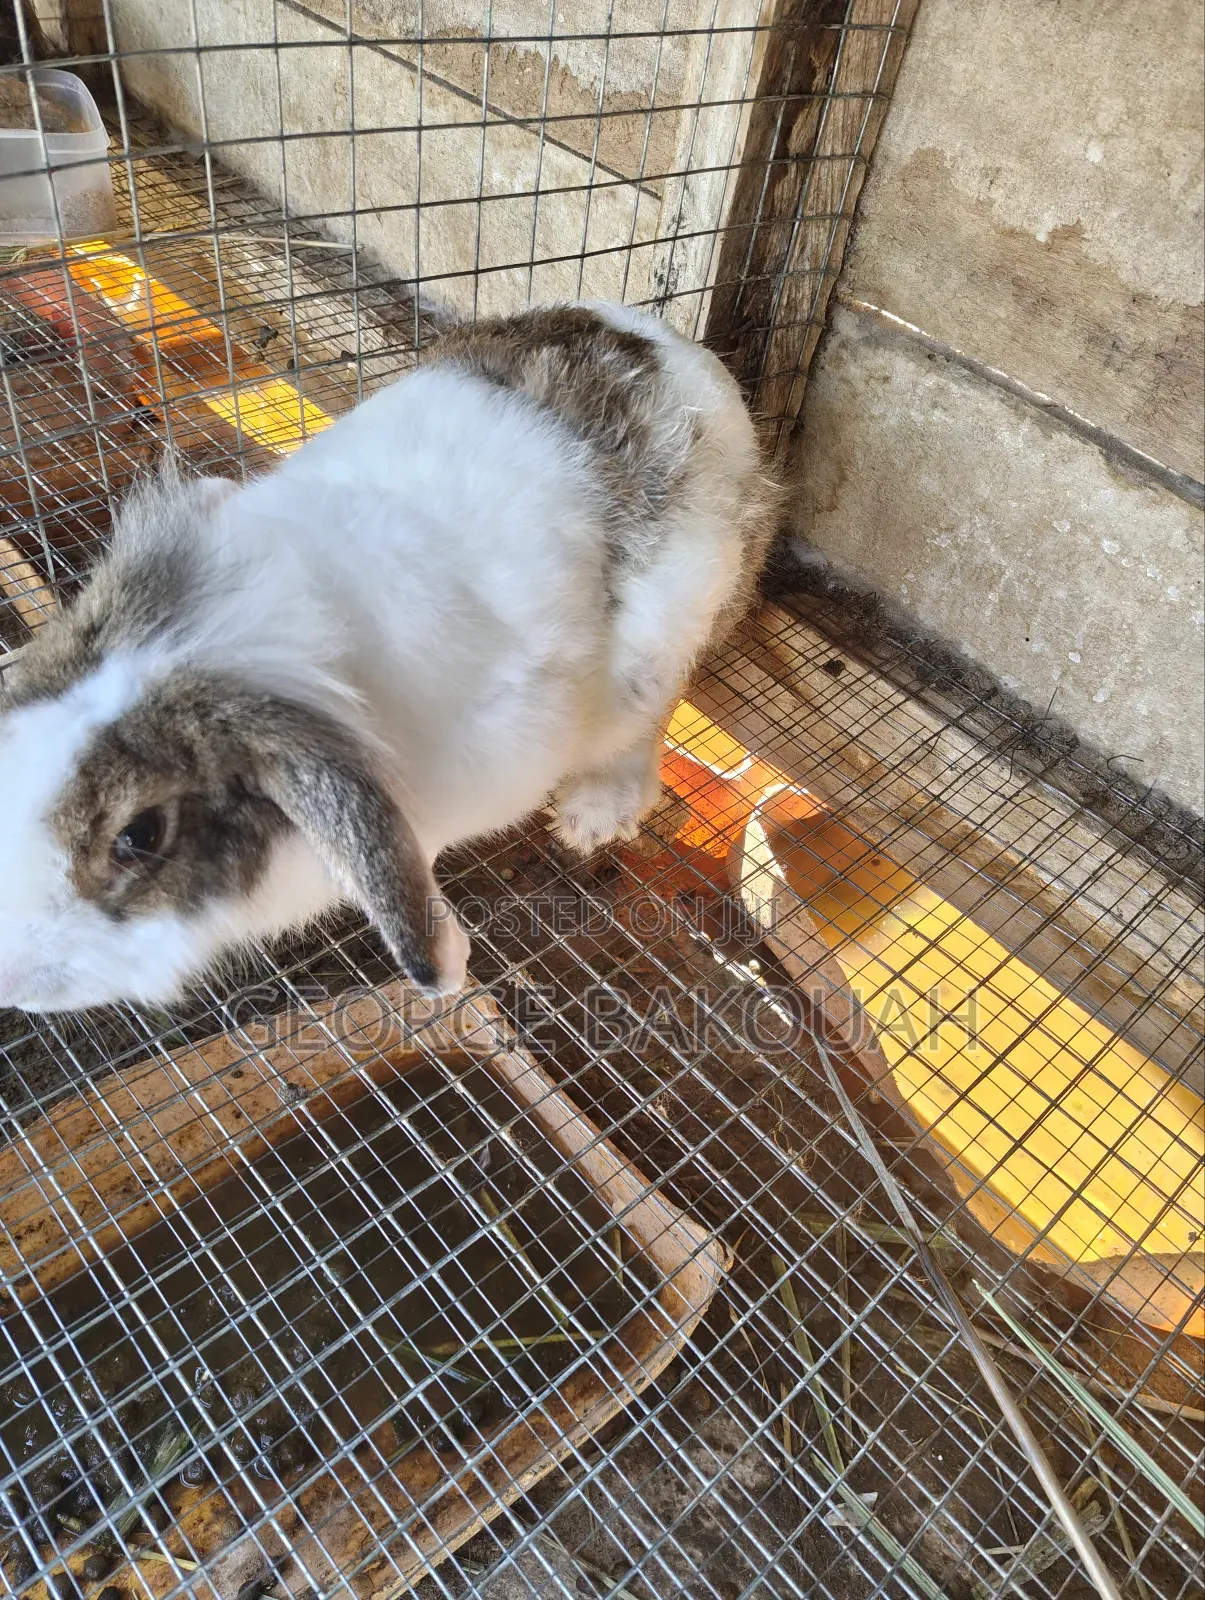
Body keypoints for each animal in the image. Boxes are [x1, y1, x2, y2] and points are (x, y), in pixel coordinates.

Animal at [0, 302, 778, 1014]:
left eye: (139, 836)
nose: (16, 984)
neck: (233, 641)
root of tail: (676, 349)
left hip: (673, 623)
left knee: (646, 719)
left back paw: (595, 815)